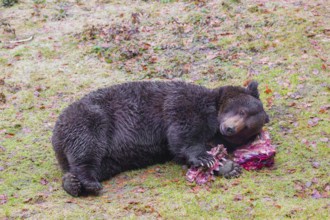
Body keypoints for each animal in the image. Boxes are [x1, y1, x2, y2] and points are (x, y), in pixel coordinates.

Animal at [51, 80, 268, 196]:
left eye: (246, 128)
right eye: (241, 111)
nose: (229, 128)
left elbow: (180, 152)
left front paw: (227, 166)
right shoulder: (184, 104)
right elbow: (183, 135)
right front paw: (206, 158)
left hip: (111, 157)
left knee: (99, 164)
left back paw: (72, 182)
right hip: (90, 119)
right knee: (87, 147)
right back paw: (87, 182)